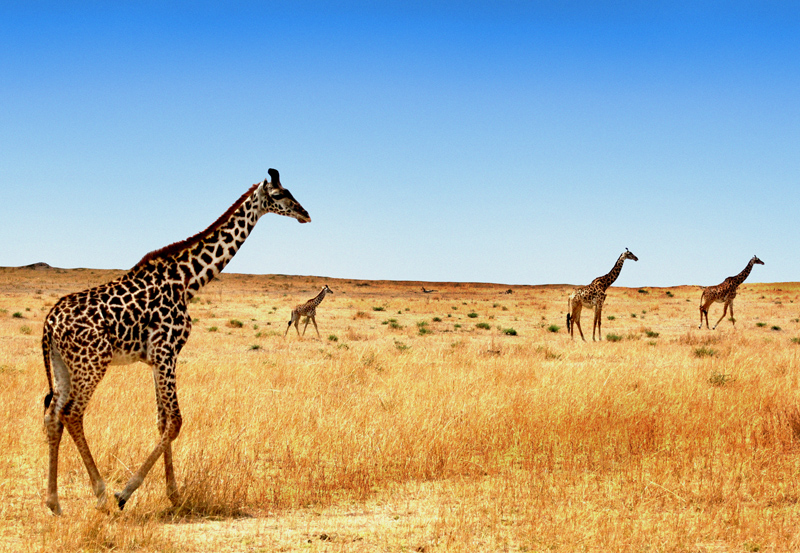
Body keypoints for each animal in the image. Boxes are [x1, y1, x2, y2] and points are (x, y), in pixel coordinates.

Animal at [41, 169, 310, 515]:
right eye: (278, 195)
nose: (305, 214)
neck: (188, 280)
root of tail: (48, 323)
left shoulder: (156, 359)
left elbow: (162, 422)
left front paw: (174, 495)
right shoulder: (167, 352)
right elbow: (176, 422)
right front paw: (126, 493)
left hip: (63, 365)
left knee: (52, 415)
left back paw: (54, 502)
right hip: (92, 363)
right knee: (72, 414)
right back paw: (100, 494)